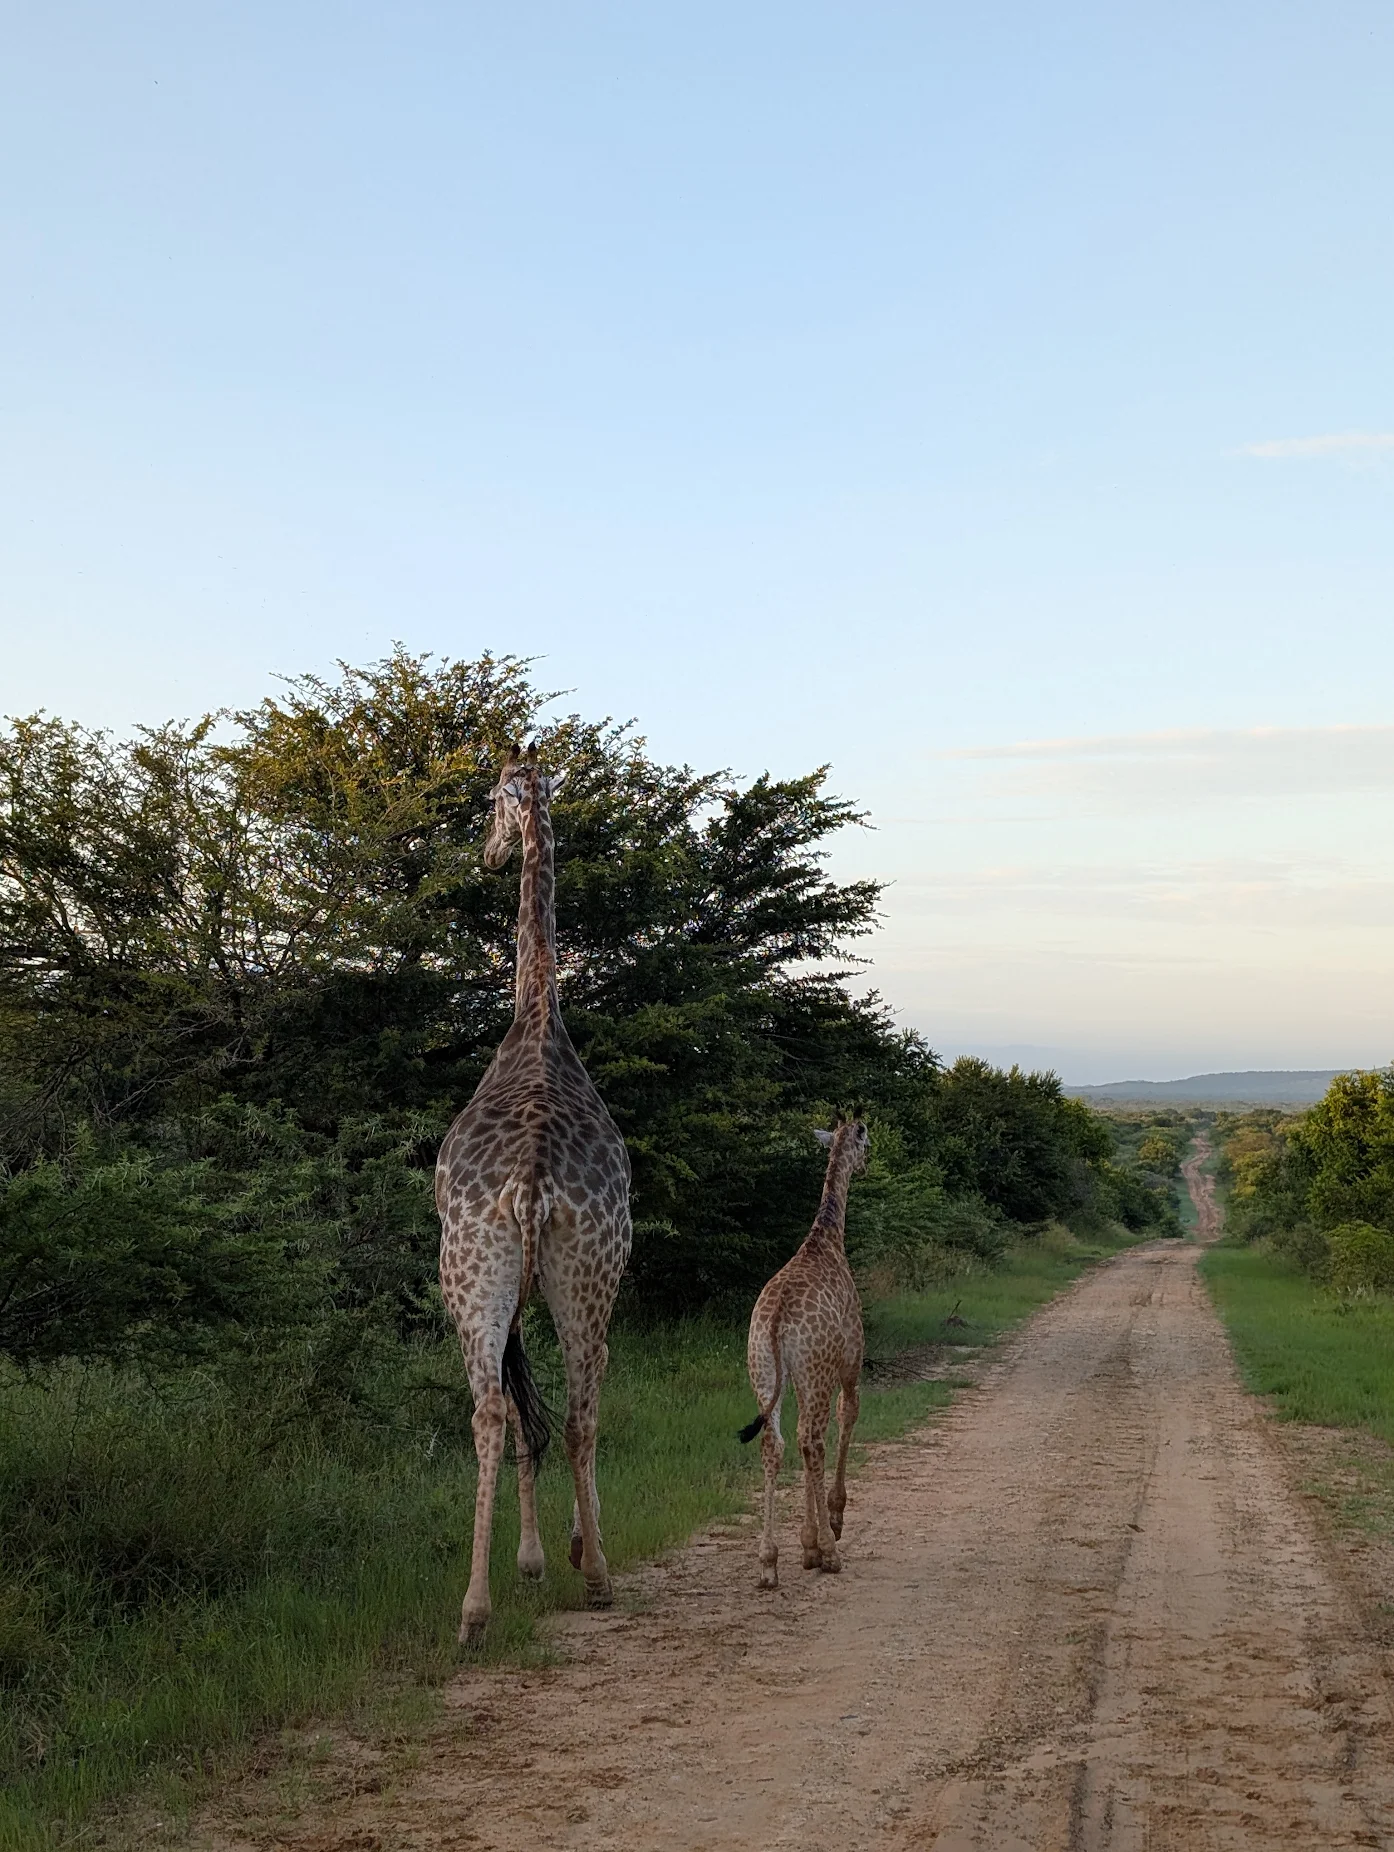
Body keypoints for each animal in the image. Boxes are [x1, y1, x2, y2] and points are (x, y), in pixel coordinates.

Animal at [739, 1111, 868, 1590]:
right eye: (867, 1144)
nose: (866, 1165)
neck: (827, 1238)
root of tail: (775, 1319)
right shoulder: (848, 1365)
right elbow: (846, 1417)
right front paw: (830, 1523)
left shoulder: (799, 1376)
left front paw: (804, 1541)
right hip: (815, 1370)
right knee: (809, 1438)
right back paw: (828, 1552)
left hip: (763, 1369)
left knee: (774, 1442)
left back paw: (768, 1562)